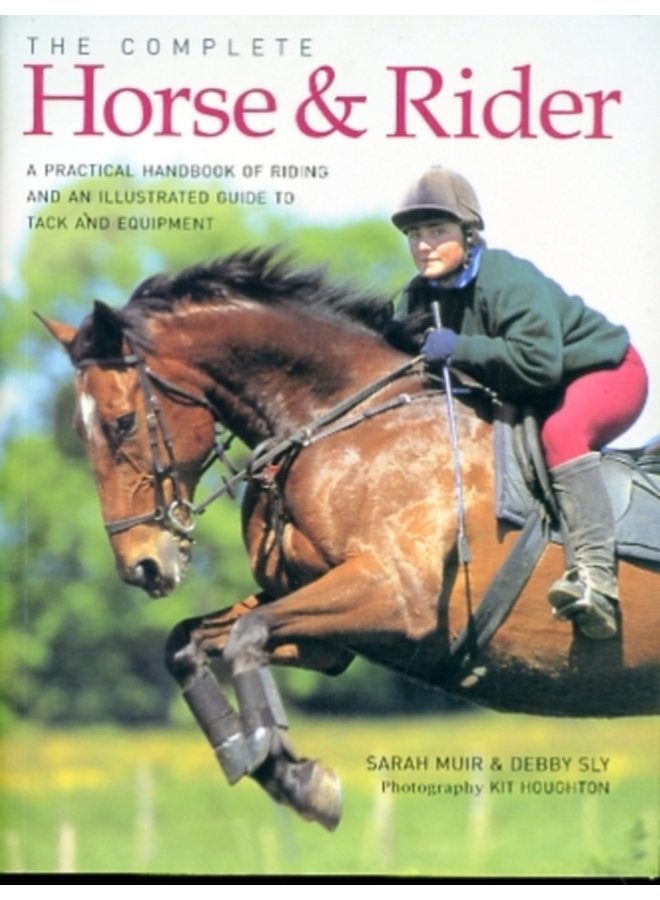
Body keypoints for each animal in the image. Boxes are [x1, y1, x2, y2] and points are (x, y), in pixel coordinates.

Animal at [39, 247, 660, 830]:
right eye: (77, 431)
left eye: (122, 423)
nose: (142, 566)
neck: (337, 424)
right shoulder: (329, 633)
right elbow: (189, 643)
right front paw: (262, 762)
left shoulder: (396, 598)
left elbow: (246, 634)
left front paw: (300, 781)